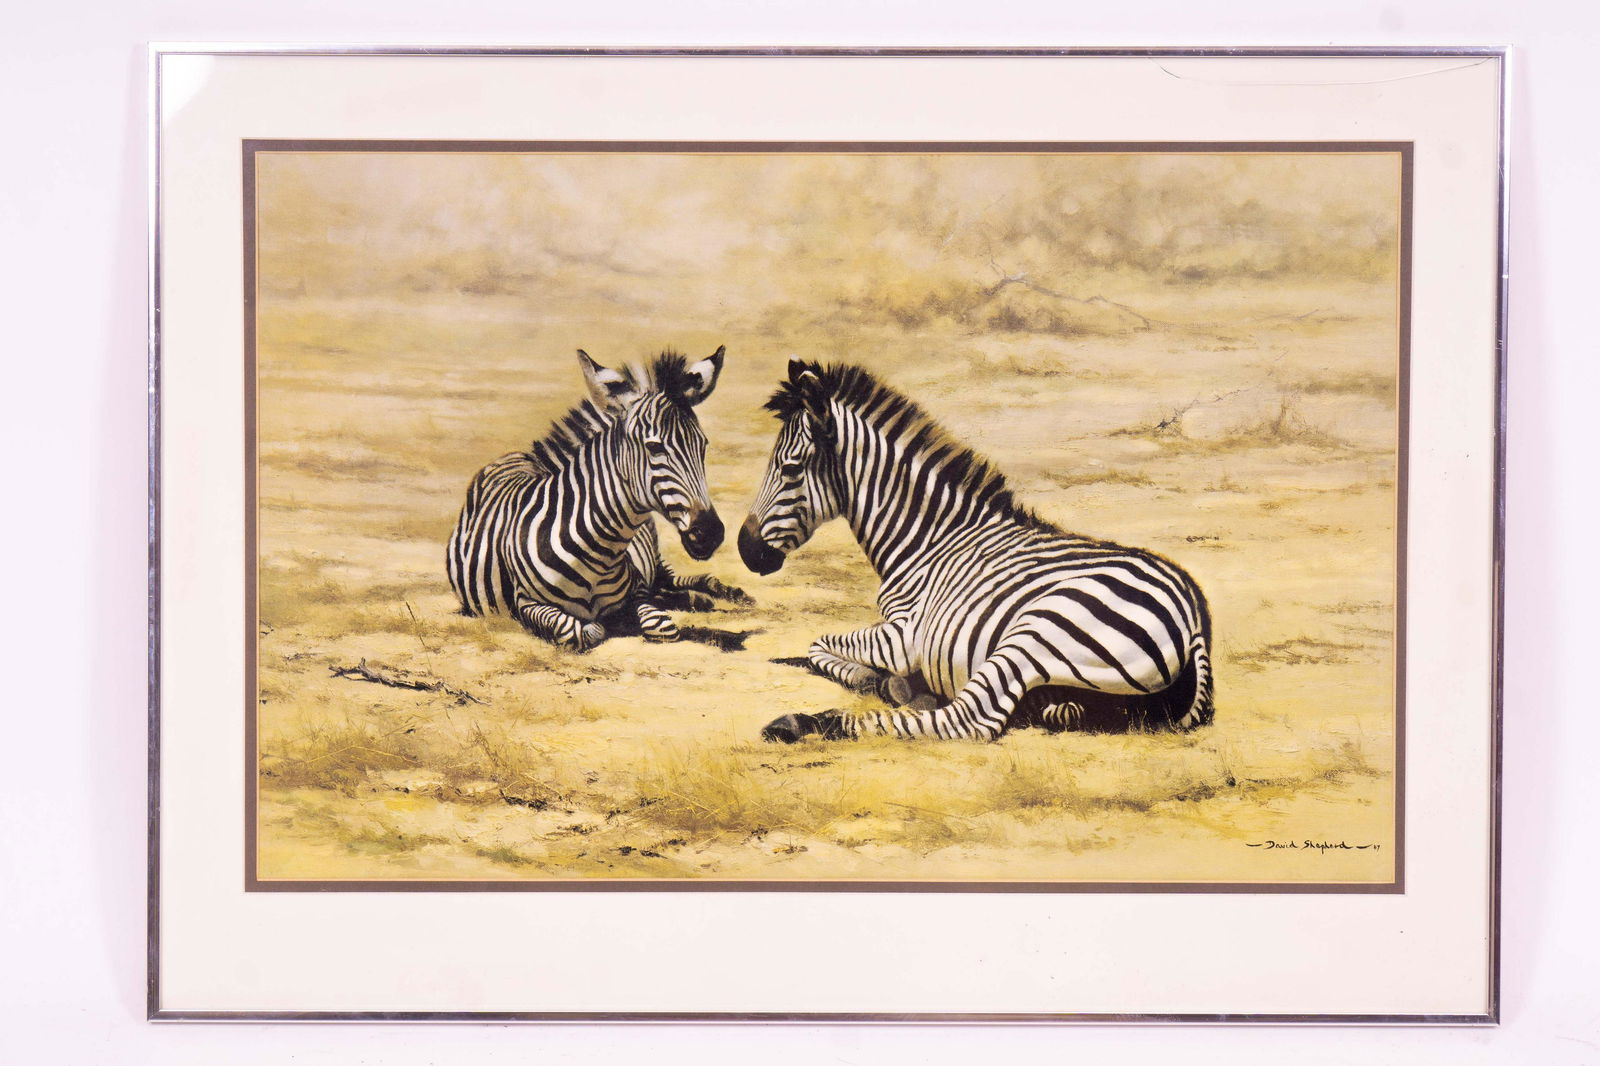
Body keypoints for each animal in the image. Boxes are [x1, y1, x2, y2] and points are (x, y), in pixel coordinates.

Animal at [447, 347, 749, 650]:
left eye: (703, 445)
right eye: (654, 448)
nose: (710, 533)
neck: (599, 551)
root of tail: (512, 457)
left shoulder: (639, 588)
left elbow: (661, 625)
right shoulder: (526, 603)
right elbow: (584, 630)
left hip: (655, 558)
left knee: (674, 580)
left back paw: (721, 593)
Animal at [738, 357, 1214, 742]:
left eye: (789, 469)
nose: (745, 549)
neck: (927, 541)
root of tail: (1193, 617)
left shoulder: (902, 636)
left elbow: (818, 643)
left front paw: (884, 682)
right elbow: (822, 649)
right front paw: (883, 682)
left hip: (1035, 631)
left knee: (968, 720)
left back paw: (803, 723)